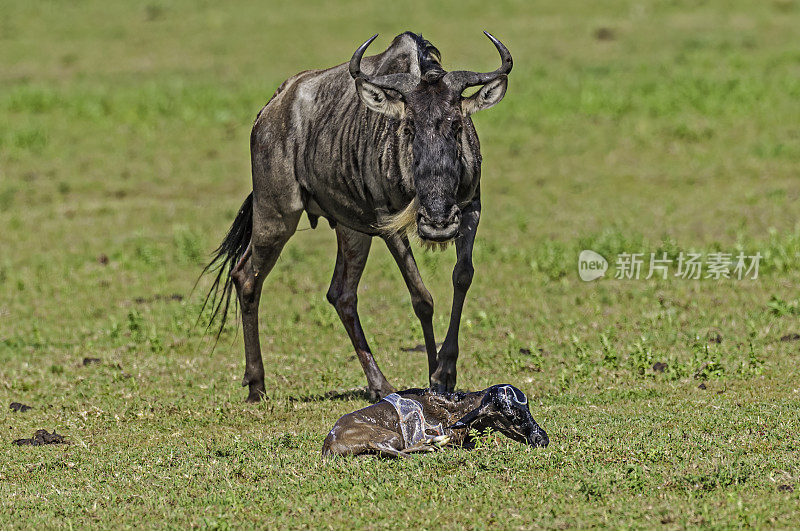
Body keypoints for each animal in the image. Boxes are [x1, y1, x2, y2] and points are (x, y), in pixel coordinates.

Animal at [322, 386, 548, 458]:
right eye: (512, 415)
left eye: (528, 409)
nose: (542, 438)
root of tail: (329, 443)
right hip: (390, 435)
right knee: (386, 447)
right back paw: (430, 445)